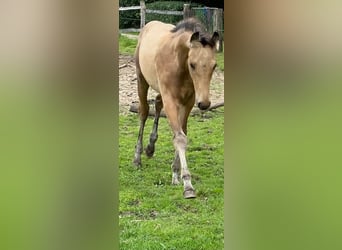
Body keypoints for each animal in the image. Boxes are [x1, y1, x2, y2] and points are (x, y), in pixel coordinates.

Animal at [134, 18, 219, 199]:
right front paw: (188, 186)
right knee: (144, 112)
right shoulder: (171, 100)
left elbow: (182, 132)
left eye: (214, 65)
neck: (178, 63)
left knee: (157, 103)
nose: (204, 104)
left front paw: (175, 173)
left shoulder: (188, 102)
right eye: (192, 64)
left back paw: (150, 148)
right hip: (141, 80)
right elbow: (179, 137)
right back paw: (137, 158)